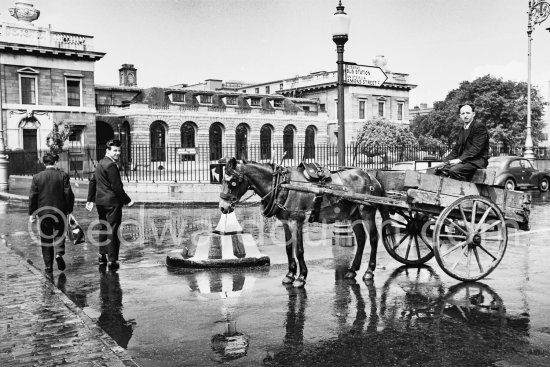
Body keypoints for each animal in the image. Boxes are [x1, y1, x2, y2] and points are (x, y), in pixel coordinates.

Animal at [220, 157, 388, 288]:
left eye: (233, 182)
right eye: (223, 180)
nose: (223, 207)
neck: (282, 185)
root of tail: (371, 177)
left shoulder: (296, 221)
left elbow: (299, 250)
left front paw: (301, 277)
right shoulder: (286, 222)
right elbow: (289, 249)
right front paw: (290, 274)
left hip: (367, 212)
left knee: (373, 238)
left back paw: (369, 271)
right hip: (354, 214)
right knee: (361, 239)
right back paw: (352, 270)